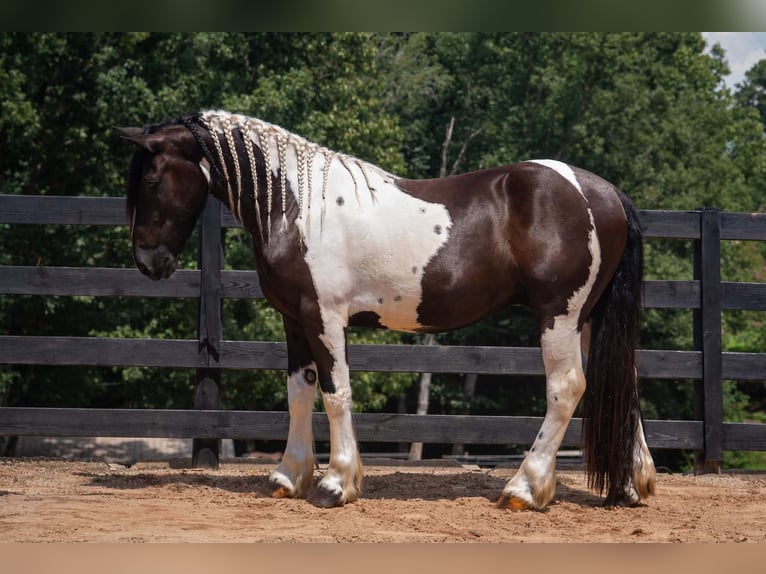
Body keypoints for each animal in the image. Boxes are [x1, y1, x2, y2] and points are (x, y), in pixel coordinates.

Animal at [117, 110, 656, 510]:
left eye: (151, 178)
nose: (147, 262)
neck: (296, 205)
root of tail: (604, 193)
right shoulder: (293, 319)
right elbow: (299, 394)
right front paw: (289, 477)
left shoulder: (324, 316)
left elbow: (335, 393)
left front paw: (336, 484)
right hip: (590, 318)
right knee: (622, 381)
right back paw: (632, 487)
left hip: (558, 315)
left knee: (567, 389)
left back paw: (524, 489)